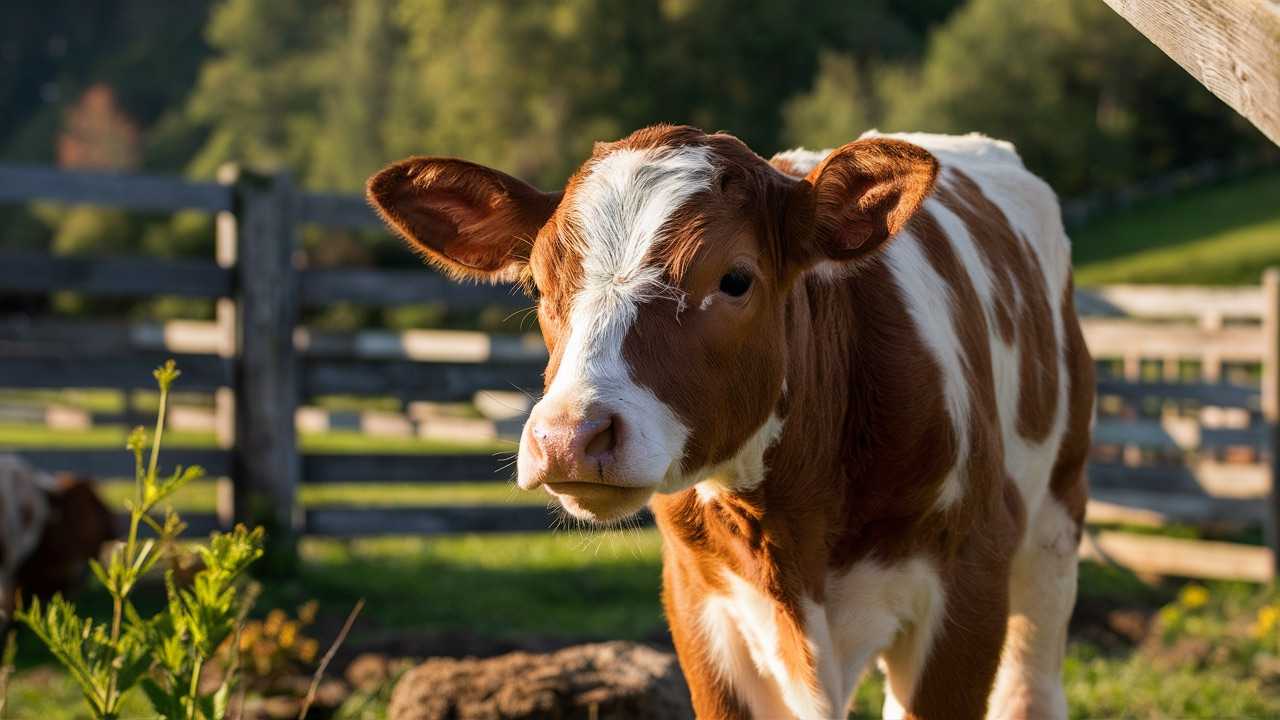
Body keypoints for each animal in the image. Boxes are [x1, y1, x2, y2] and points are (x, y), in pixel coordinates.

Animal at [368, 125, 1094, 720]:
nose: (568, 438)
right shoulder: (701, 605)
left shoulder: (965, 584)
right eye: (538, 287)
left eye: (736, 278)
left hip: (1055, 512)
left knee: (1031, 682)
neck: (790, 524)